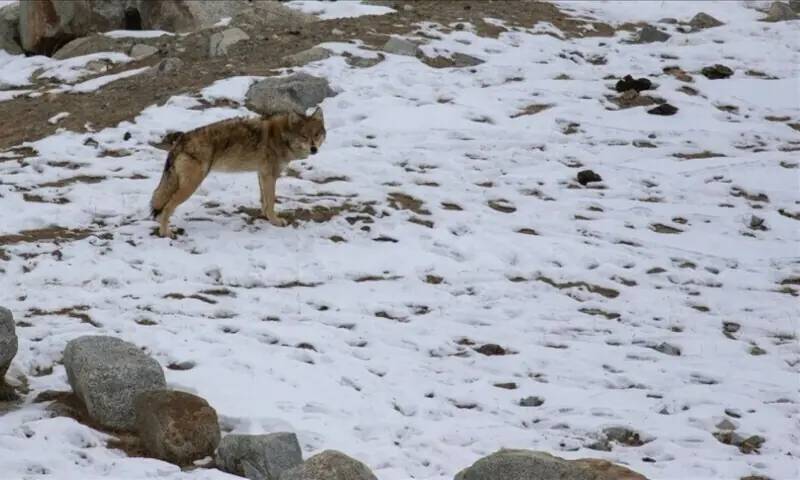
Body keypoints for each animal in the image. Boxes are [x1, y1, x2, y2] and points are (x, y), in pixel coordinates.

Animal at [150, 108, 326, 237]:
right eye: (304, 136)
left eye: (316, 134)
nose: (314, 149)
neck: (282, 137)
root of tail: (180, 141)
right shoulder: (270, 175)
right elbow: (271, 201)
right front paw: (275, 221)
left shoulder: (262, 174)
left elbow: (264, 201)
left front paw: (265, 217)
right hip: (190, 187)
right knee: (167, 208)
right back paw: (165, 233)